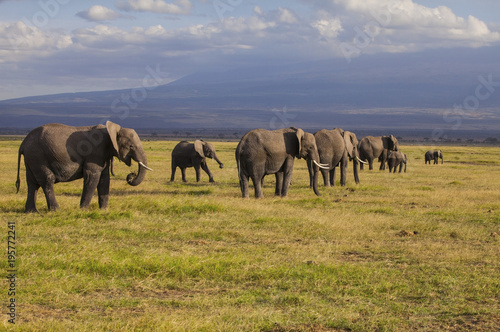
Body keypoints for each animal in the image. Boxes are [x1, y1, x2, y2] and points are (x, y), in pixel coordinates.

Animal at [15, 121, 152, 213]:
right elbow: (93, 177)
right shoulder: (95, 152)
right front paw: (83, 210)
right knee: (47, 179)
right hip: (38, 155)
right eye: (131, 147)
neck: (113, 129)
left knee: (32, 183)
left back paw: (32, 212)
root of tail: (23, 143)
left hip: (32, 158)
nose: (131, 174)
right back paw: (56, 210)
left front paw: (103, 211)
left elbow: (104, 179)